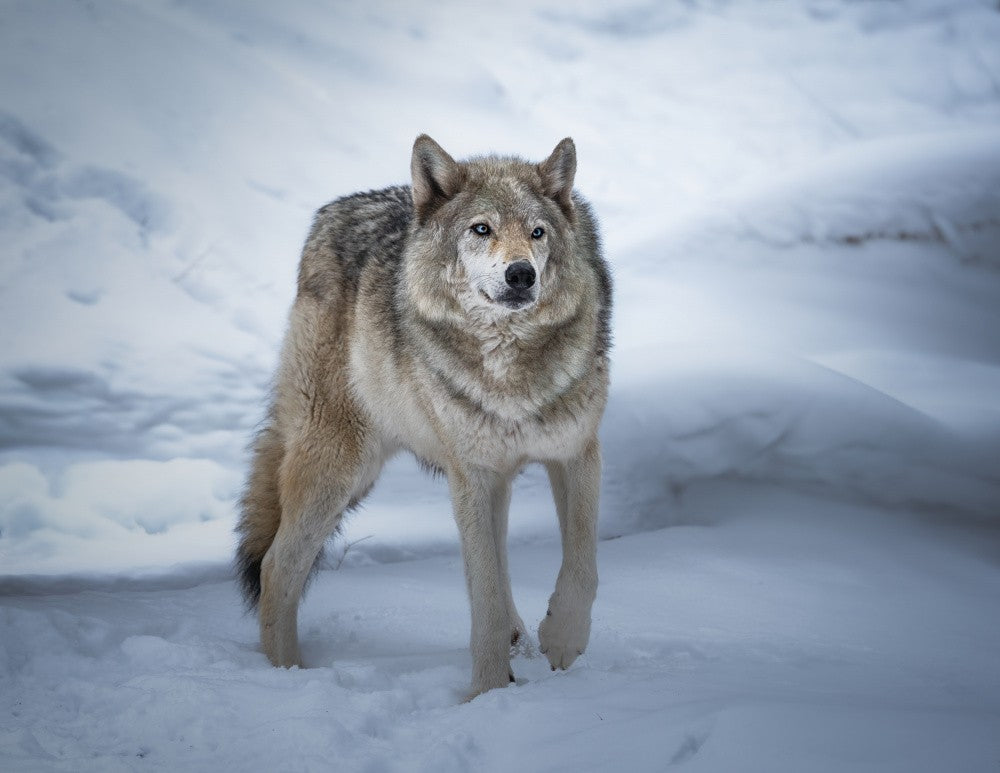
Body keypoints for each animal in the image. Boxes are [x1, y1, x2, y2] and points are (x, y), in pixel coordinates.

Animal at [235, 134, 612, 698]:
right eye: (481, 229)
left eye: (537, 232)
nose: (521, 274)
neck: (508, 369)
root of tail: (328, 215)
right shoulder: (470, 475)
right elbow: (485, 599)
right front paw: (487, 695)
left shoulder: (574, 453)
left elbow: (581, 567)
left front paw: (561, 642)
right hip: (343, 467)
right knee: (277, 567)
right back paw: (290, 679)